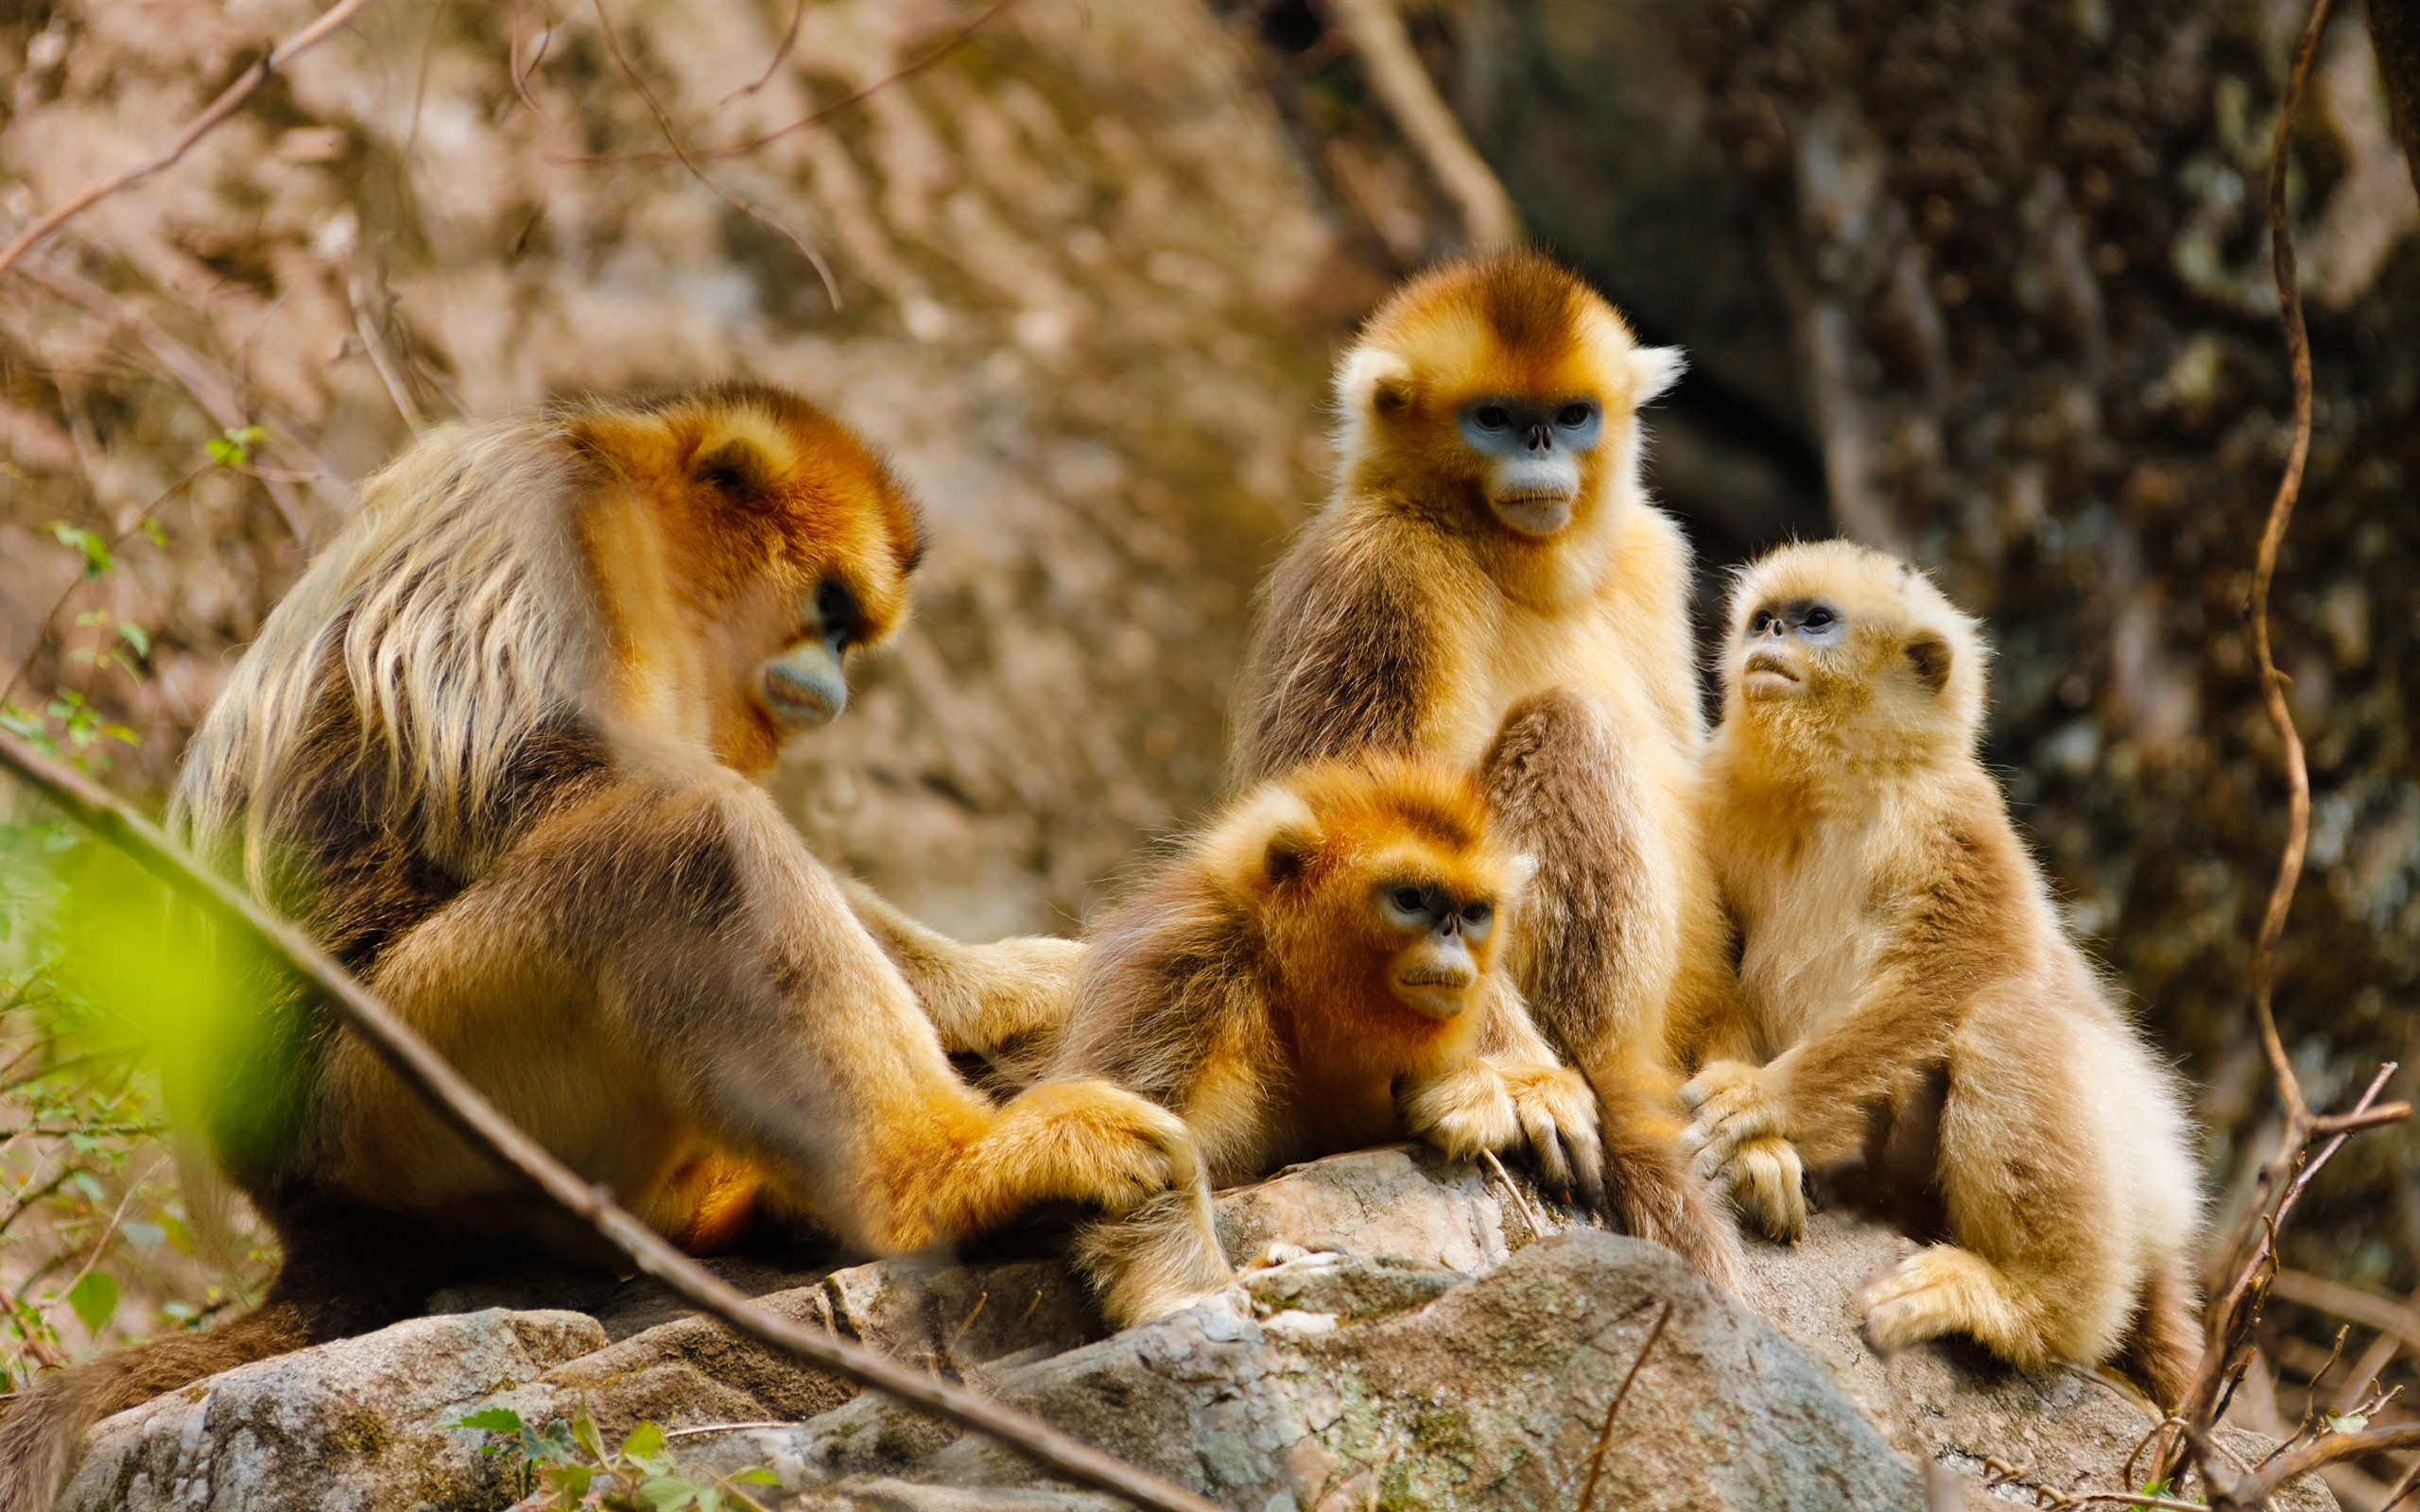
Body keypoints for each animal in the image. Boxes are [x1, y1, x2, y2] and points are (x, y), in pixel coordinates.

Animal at [0, 383, 1200, 1512]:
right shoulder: (555, 513)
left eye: (848, 632)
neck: (634, 496)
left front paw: (1029, 983)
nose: (836, 677)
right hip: (397, 1097)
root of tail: (304, 1211)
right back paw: (936, 1180)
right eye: (827, 609)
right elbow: (552, 780)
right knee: (686, 842)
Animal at [1043, 755, 1606, 1327]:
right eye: (1410, 899)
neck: (1284, 981)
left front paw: (1507, 1089)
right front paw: (1193, 1294)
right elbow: (1149, 1153)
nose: (1451, 938)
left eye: (1472, 913)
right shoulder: (1187, 962)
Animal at [1229, 249, 1744, 1286]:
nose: (1542, 448)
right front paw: (1522, 1082)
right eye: (1497, 418)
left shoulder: (1652, 550)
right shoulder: (1378, 572)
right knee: (1574, 725)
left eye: (1573, 414)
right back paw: (1604, 1083)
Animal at [1680, 539, 2203, 1403]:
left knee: (2007, 1016)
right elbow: (1712, 980)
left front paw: (1762, 1102)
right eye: (1764, 620)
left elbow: (1972, 964)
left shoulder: (1951, 810)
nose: (1774, 636)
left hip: (2144, 1162)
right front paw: (1761, 1151)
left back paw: (2024, 1306)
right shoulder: (1716, 799)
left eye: (1815, 621)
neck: (1831, 792)